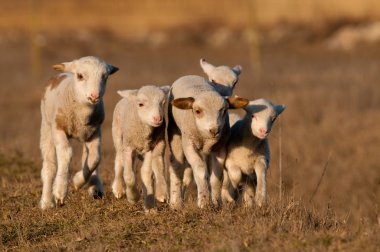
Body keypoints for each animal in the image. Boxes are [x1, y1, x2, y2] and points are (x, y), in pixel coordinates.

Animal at [39, 56, 117, 210]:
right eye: (80, 76)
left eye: (105, 77)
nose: (95, 96)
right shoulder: (58, 128)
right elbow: (66, 153)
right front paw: (60, 191)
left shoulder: (95, 131)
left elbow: (95, 158)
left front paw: (77, 181)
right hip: (46, 127)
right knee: (49, 166)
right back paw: (46, 202)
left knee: (87, 157)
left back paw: (95, 188)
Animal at [168, 75, 248, 209]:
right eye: (197, 111)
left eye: (224, 111)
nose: (214, 130)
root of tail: (189, 76)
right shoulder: (189, 145)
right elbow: (200, 171)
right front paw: (204, 203)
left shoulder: (220, 148)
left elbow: (217, 176)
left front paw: (216, 203)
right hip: (175, 134)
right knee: (176, 166)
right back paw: (176, 203)